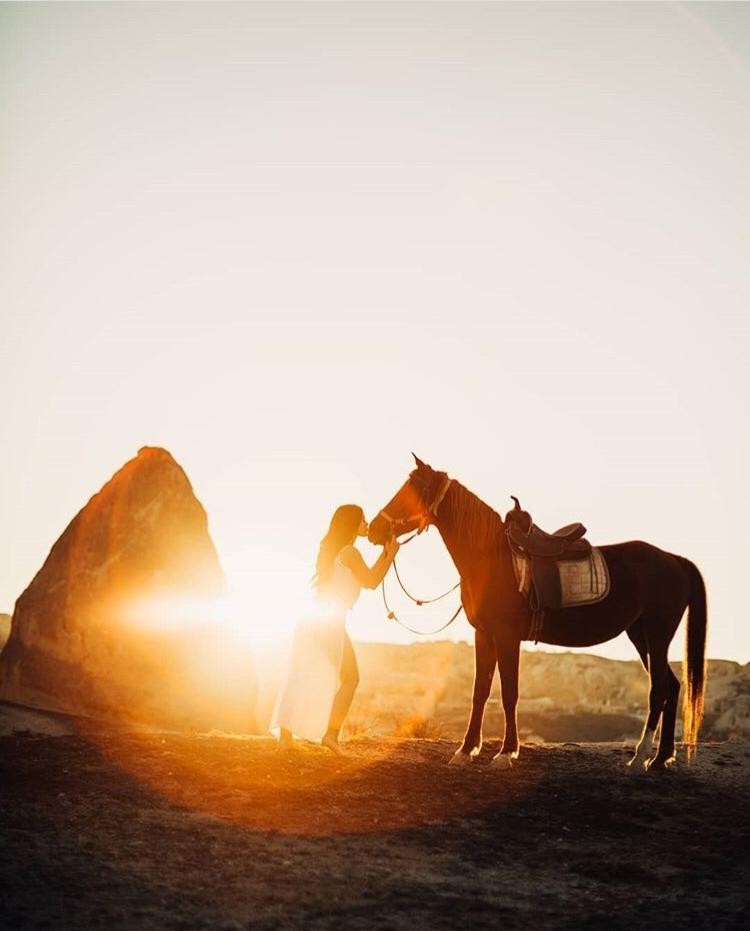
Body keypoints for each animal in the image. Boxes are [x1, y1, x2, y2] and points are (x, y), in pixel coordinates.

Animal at [368, 456, 707, 771]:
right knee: (672, 686)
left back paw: (640, 757)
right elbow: (480, 692)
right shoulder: (484, 635)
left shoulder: (507, 637)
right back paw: (661, 758)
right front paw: (465, 750)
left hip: (656, 635)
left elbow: (509, 693)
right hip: (640, 635)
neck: (491, 558)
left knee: (658, 689)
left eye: (412, 491)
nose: (374, 530)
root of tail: (675, 560)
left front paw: (506, 753)